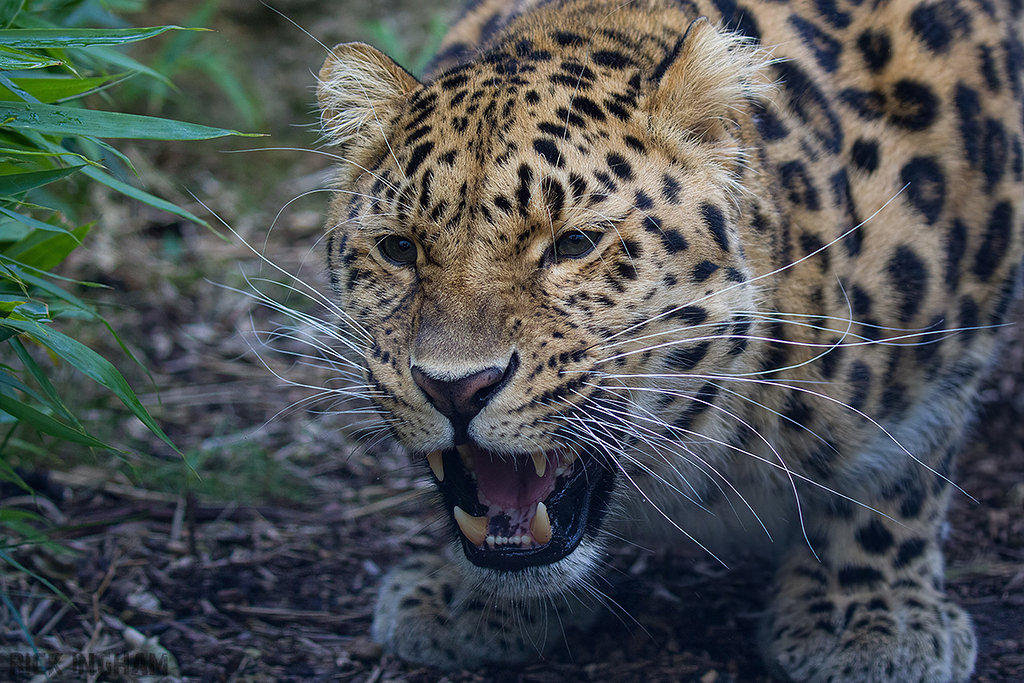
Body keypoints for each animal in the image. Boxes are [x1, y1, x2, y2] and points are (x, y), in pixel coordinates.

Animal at [313, 0, 1024, 680]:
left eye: (574, 244)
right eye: (398, 249)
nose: (454, 388)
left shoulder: (945, 347)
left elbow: (901, 472)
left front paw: (870, 616)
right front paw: (480, 602)